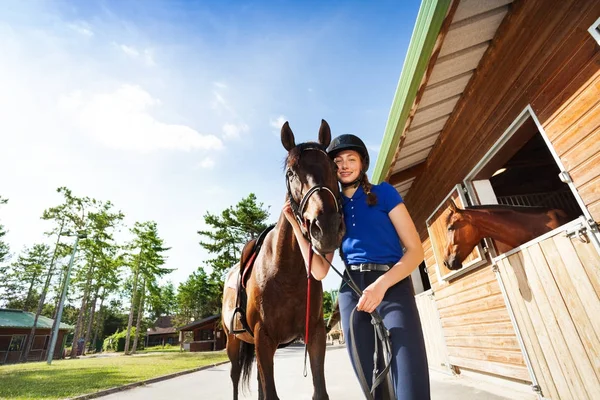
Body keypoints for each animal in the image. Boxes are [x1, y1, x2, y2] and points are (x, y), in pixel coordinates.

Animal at [221, 119, 344, 400]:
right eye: (290, 173)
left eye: (333, 167)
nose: (327, 227)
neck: (286, 271)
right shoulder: (263, 338)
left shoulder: (315, 334)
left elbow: (319, 391)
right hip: (233, 342)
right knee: (234, 377)